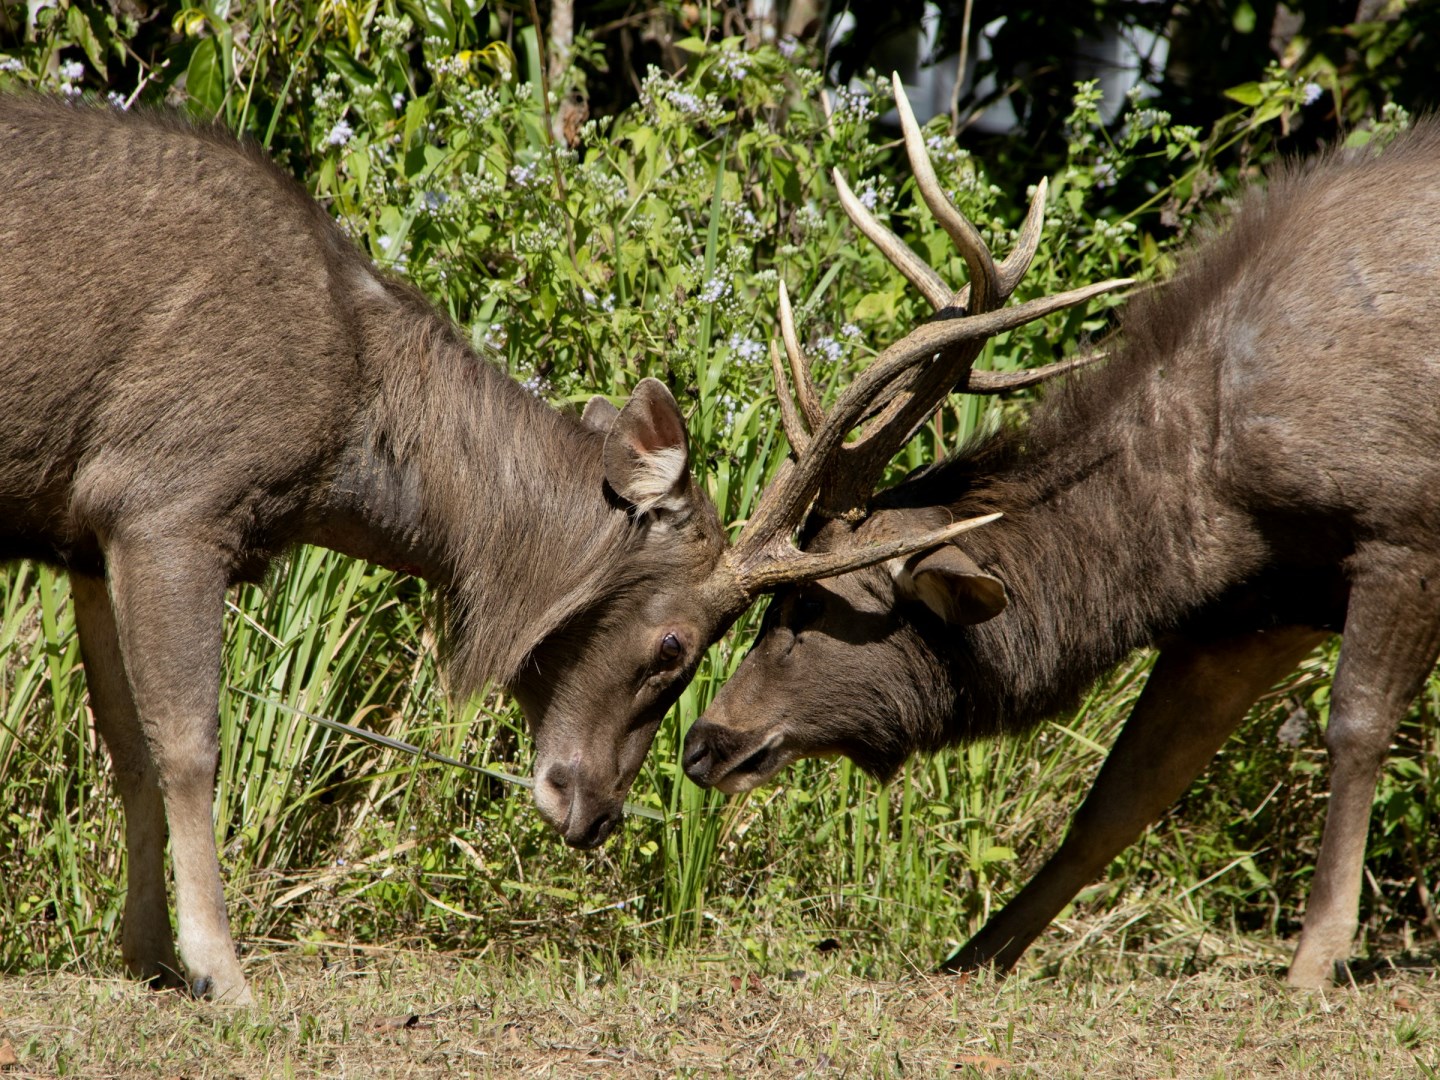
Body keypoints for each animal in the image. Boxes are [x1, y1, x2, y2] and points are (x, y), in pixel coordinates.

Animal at [0, 92, 1122, 1003]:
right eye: (675, 646)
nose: (596, 812)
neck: (348, 433)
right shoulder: (169, 493)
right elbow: (189, 744)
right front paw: (222, 971)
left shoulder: (85, 531)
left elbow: (127, 748)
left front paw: (147, 956)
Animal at [683, 89, 1440, 988]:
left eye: (806, 604)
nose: (703, 742)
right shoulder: (1255, 608)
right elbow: (1125, 794)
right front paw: (976, 953)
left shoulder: (1405, 530)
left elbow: (1355, 727)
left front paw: (1315, 957)